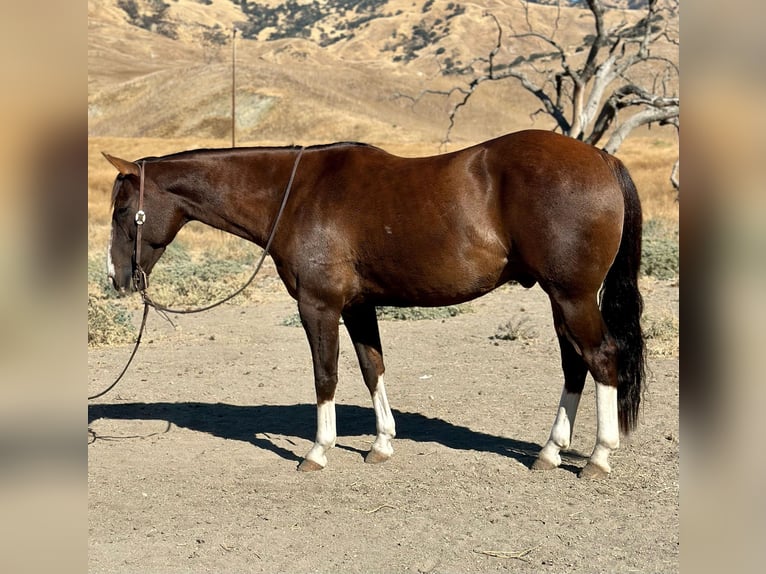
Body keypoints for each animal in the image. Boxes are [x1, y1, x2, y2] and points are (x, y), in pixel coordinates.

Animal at [105, 129, 644, 476]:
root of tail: (602, 158)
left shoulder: (319, 306)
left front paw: (318, 452)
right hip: (561, 300)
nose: (115, 279)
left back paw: (598, 457)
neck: (294, 194)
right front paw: (382, 444)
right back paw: (550, 452)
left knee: (601, 359)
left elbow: (326, 376)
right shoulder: (357, 306)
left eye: (121, 210)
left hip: (573, 297)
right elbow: (372, 368)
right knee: (575, 366)